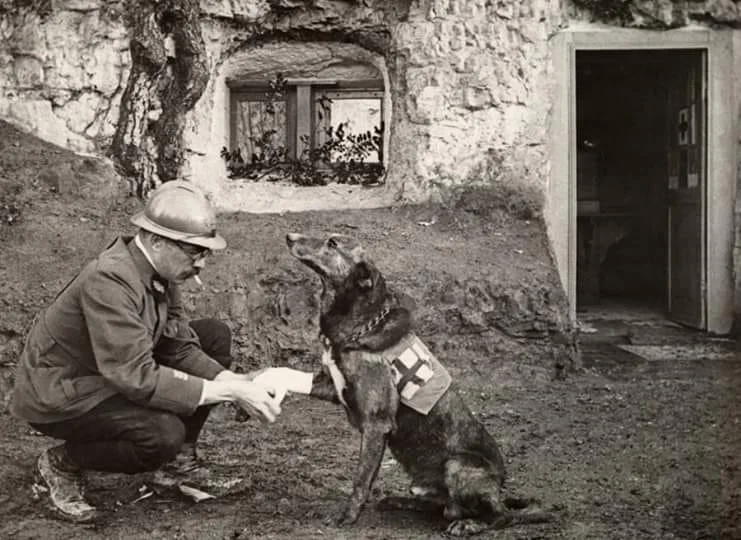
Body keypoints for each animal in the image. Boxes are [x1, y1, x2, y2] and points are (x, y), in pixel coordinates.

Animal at [286, 231, 552, 536]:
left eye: (332, 244)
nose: (289, 236)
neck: (359, 326)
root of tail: (500, 488)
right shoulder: (333, 387)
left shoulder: (376, 424)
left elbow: (361, 480)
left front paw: (347, 516)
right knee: (442, 507)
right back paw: (401, 501)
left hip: (458, 466)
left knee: (499, 516)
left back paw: (469, 524)